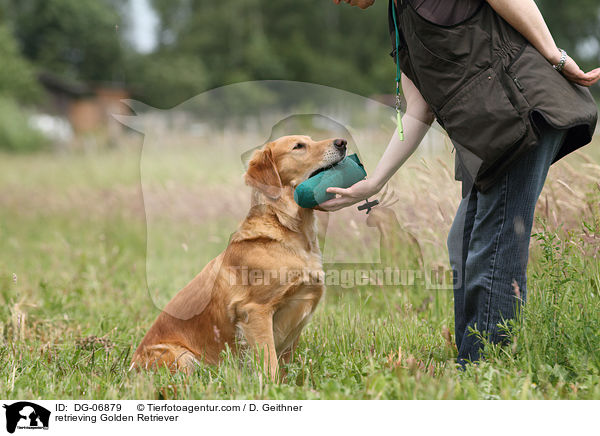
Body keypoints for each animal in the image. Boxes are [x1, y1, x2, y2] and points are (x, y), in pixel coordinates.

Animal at [131, 135, 346, 380]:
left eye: (310, 139)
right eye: (298, 146)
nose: (342, 142)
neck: (287, 227)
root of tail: (131, 365)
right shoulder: (255, 311)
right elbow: (269, 361)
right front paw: (272, 386)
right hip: (182, 356)